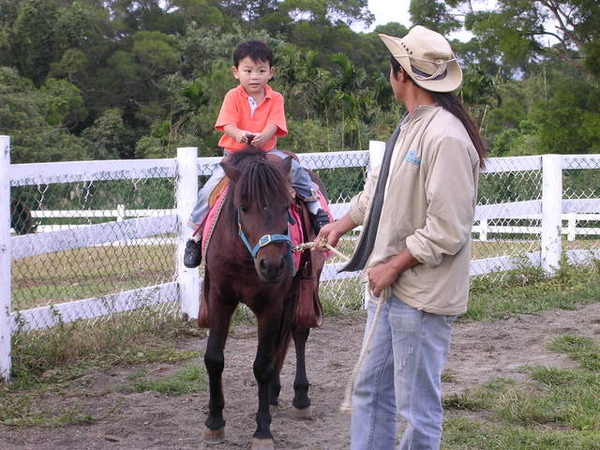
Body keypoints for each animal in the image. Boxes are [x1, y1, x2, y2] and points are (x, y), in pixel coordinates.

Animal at [200, 146, 324, 448]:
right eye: (244, 207)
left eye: (286, 207)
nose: (273, 266)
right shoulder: (220, 299)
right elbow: (214, 358)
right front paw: (214, 421)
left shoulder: (270, 307)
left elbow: (262, 366)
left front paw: (262, 430)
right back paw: (273, 395)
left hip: (303, 290)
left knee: (298, 335)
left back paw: (300, 398)